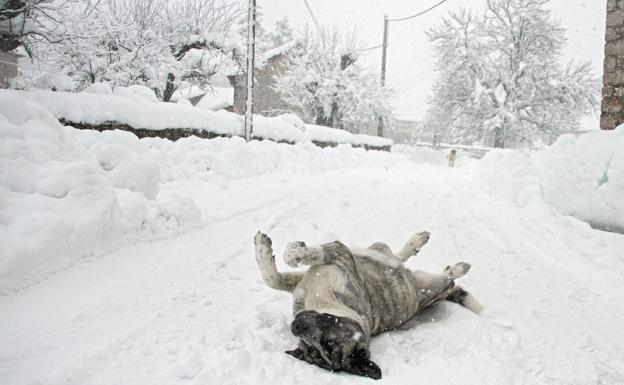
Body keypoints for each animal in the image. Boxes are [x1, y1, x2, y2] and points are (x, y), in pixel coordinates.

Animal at [254, 231, 482, 378]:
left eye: (329, 343)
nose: (295, 326)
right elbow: (272, 279)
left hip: (436, 286)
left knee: (444, 277)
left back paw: (455, 268)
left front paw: (293, 251)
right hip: (382, 253)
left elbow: (300, 256)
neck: (330, 302)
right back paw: (418, 244)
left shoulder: (339, 254)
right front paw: (264, 250)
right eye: (309, 347)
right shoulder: (301, 283)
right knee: (393, 256)